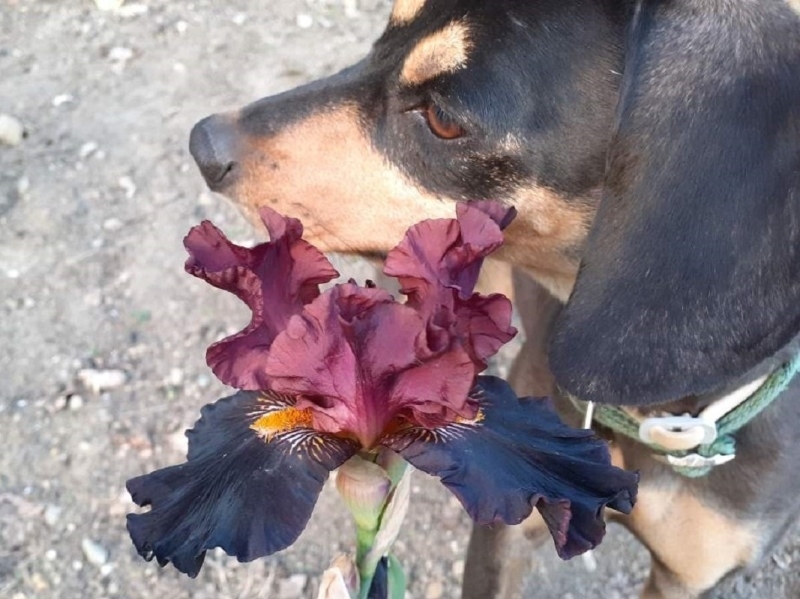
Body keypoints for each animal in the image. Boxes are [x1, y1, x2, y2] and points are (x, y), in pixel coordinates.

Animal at [188, 2, 800, 596]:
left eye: (443, 119)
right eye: (383, 38)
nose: (201, 144)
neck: (657, 416)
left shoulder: (692, 579)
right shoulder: (508, 530)